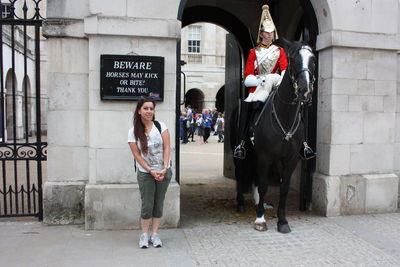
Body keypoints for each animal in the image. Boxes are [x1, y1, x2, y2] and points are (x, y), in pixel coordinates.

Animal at [231, 38, 316, 234]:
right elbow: (264, 185)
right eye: (294, 60)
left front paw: (282, 220)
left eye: (313, 60)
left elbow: (283, 187)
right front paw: (260, 219)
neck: (284, 115)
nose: (305, 90)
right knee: (240, 173)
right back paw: (241, 204)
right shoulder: (265, 156)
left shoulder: (290, 159)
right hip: (240, 153)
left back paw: (258, 203)